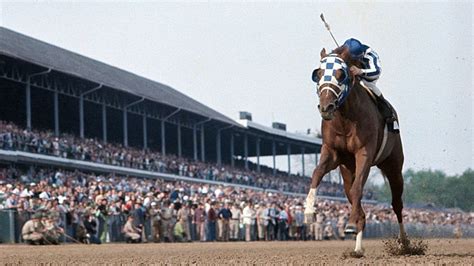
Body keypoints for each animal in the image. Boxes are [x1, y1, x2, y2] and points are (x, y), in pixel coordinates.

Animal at [308, 47, 408, 254]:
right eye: (318, 74)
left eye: (341, 74)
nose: (326, 107)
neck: (345, 119)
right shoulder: (332, 152)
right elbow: (317, 173)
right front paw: (308, 209)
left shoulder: (364, 153)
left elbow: (357, 189)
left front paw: (351, 224)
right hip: (347, 170)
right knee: (354, 195)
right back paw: (357, 248)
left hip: (394, 166)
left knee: (396, 204)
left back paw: (404, 244)